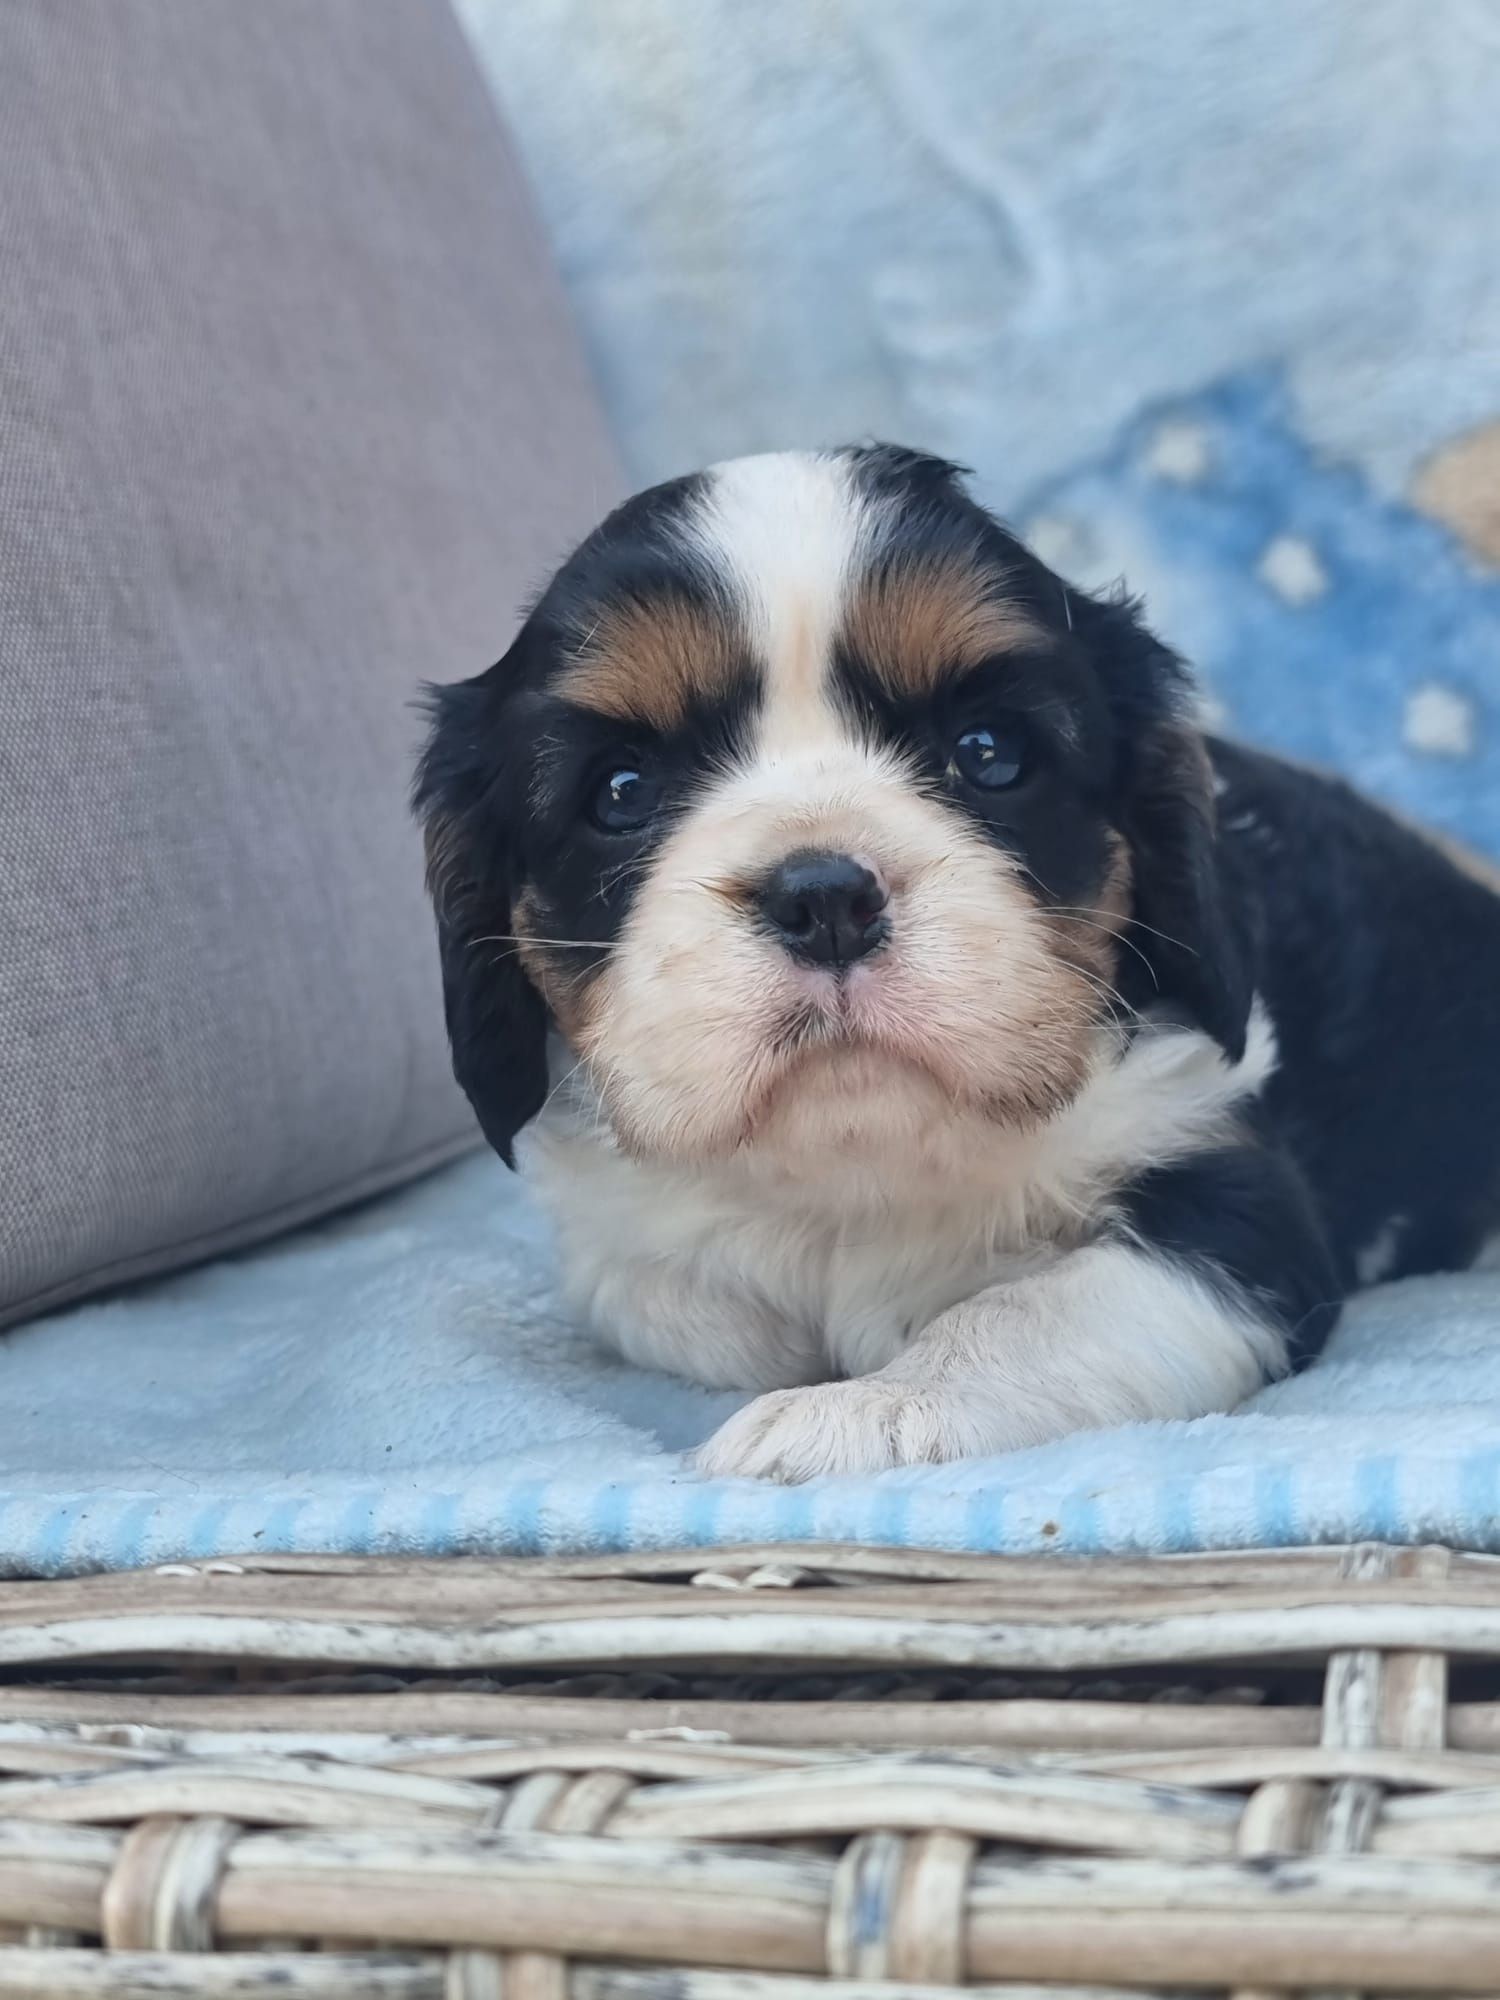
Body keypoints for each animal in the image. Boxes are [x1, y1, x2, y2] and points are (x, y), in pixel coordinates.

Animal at [418, 454, 1500, 1488]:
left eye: (989, 752)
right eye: (621, 792)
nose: (825, 897)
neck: (860, 1166)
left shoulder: (1232, 1202)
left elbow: (1032, 1310)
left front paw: (859, 1409)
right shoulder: (617, 1243)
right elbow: (661, 1299)